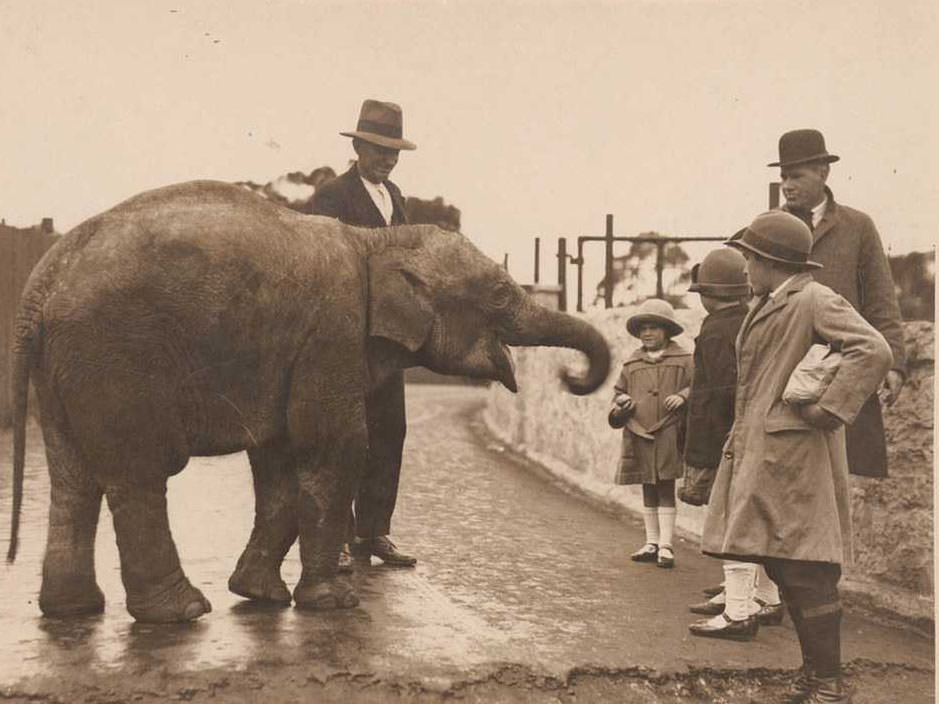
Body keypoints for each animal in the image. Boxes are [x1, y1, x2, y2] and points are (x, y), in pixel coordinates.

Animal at [7, 180, 612, 620]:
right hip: (115, 356)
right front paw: (333, 604)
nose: (571, 378)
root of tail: (40, 284)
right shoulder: (332, 329)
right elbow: (333, 445)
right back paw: (181, 613)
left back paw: (73, 611)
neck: (376, 243)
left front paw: (260, 596)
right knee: (138, 474)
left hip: (67, 367)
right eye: (502, 295)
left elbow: (279, 459)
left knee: (74, 479)